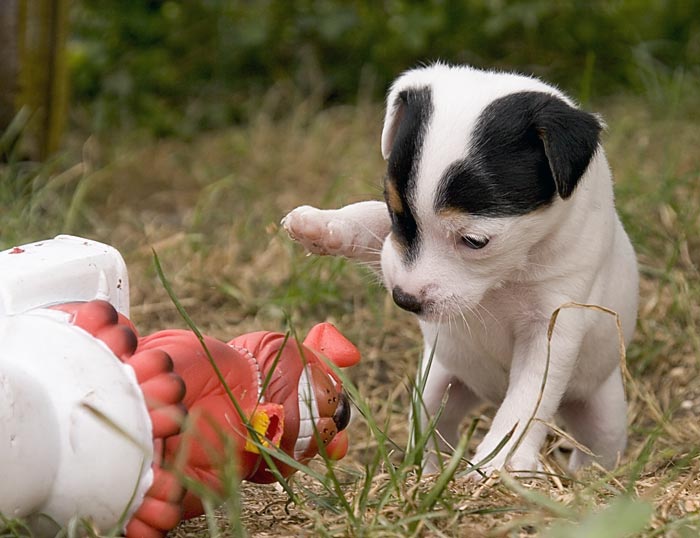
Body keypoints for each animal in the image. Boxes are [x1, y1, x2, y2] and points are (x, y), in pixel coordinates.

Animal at [282, 62, 636, 474]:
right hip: (438, 389)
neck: (509, 272)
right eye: (396, 213)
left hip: (603, 415)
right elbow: (371, 226)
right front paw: (322, 225)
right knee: (436, 432)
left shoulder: (552, 324)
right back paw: (429, 472)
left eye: (475, 241)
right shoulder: (392, 248)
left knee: (597, 448)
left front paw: (500, 462)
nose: (405, 300)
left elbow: (528, 396)